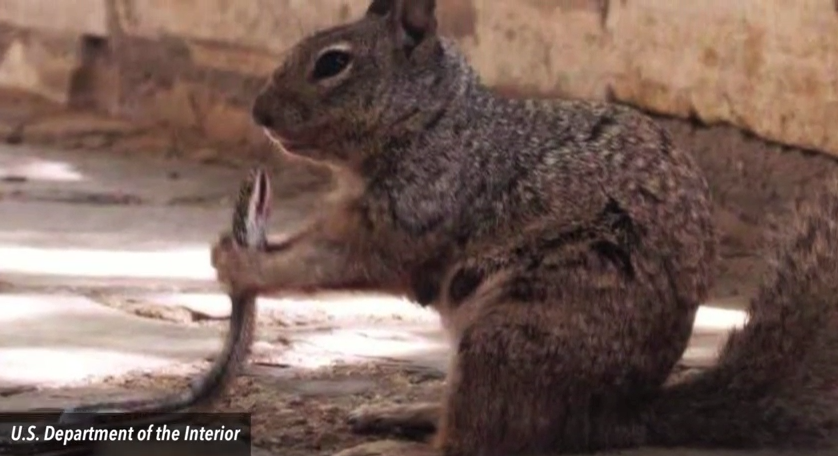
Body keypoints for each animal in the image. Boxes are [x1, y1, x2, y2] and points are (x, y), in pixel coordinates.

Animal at [210, 0, 838, 454]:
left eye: (333, 63)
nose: (259, 114)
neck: (436, 123)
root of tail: (618, 417)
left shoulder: (417, 210)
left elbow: (335, 260)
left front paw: (241, 262)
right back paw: (405, 410)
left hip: (512, 337)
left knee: (481, 442)